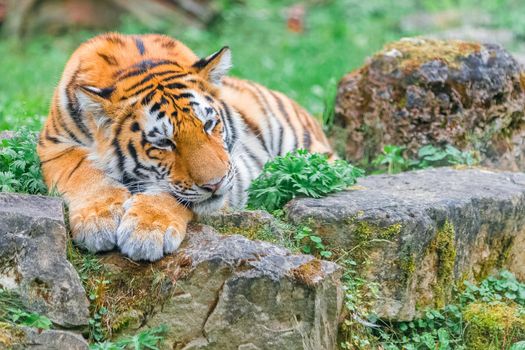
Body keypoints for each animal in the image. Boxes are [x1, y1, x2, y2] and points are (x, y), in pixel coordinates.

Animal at [37, 33, 332, 262]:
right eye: (164, 142)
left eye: (209, 124)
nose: (215, 184)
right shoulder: (53, 145)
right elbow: (82, 172)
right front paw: (98, 221)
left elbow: (171, 194)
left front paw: (146, 231)